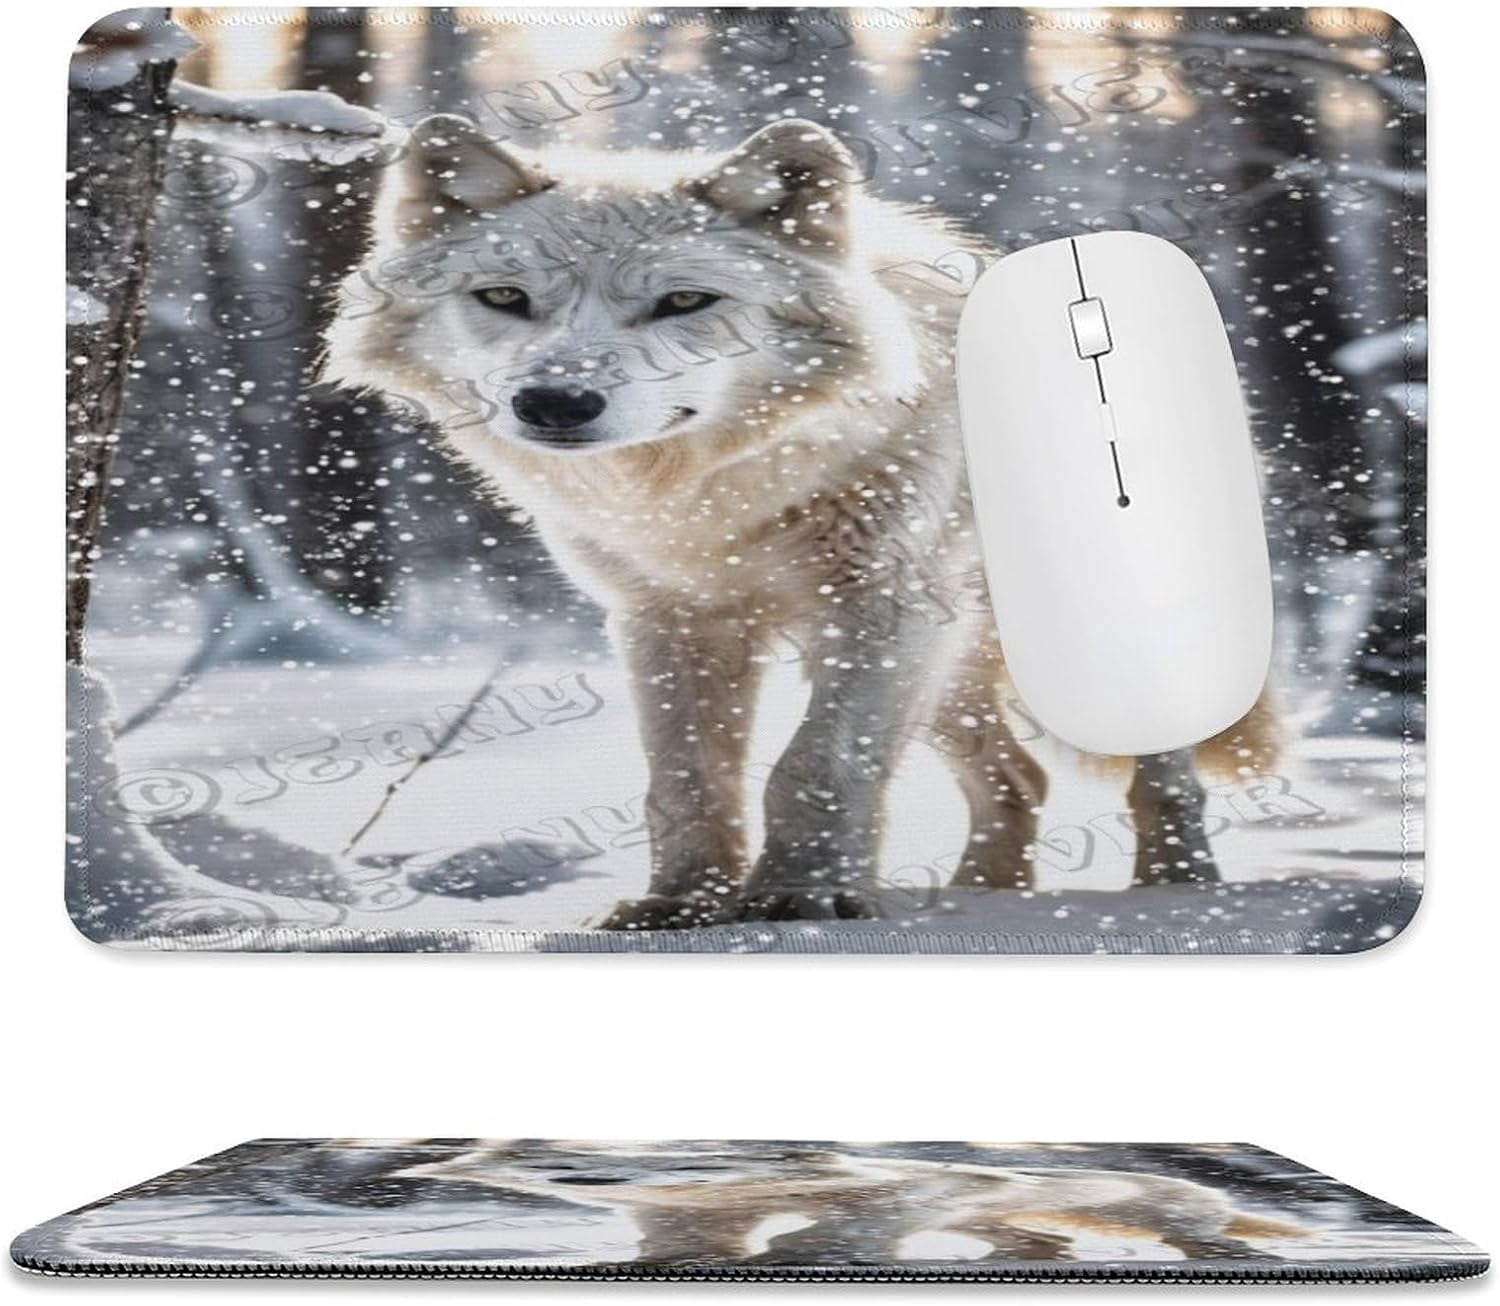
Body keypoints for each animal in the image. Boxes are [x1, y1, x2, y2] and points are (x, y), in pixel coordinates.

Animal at [323, 115, 1275, 929]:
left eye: (683, 303)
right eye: (504, 296)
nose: (555, 402)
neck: (707, 498)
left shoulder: (877, 608)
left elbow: (818, 764)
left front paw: (799, 894)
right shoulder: (669, 622)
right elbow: (686, 778)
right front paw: (681, 904)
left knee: (1161, 775)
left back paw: (1175, 886)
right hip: (949, 670)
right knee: (1019, 778)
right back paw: (980, 896)